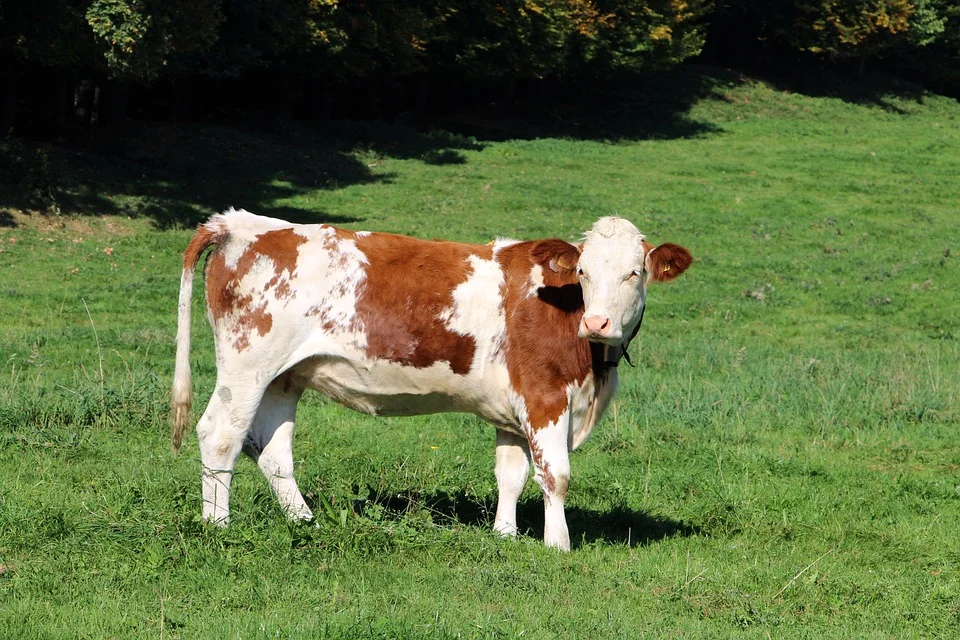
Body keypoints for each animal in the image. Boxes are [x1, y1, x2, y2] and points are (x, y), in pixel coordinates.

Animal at [171, 208, 691, 550]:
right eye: (582, 271)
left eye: (635, 273)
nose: (598, 322)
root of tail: (242, 223)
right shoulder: (545, 396)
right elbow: (555, 475)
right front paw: (557, 546)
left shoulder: (512, 407)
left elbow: (511, 474)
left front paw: (505, 536)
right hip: (247, 364)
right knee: (221, 435)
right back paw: (218, 528)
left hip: (284, 376)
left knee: (272, 450)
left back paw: (307, 524)